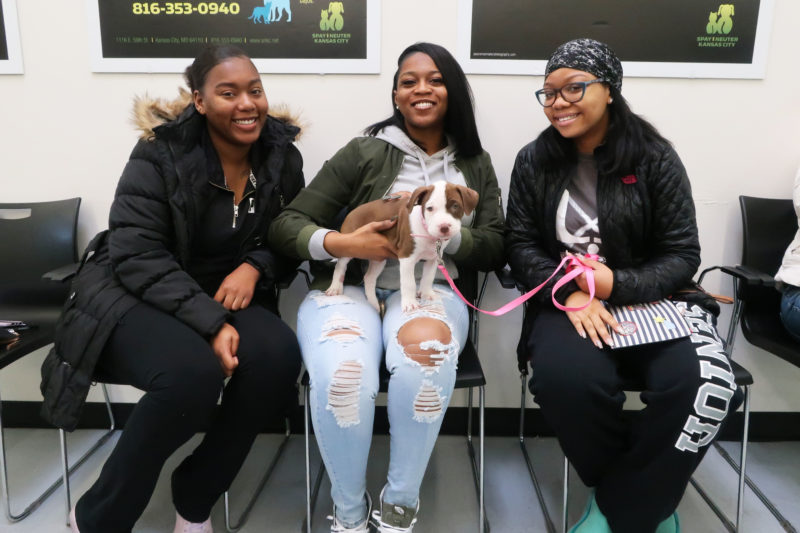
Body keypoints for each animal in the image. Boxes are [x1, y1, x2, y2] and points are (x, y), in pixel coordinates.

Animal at [326, 180, 478, 312]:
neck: (427, 233)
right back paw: (335, 287)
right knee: (340, 265)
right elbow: (409, 283)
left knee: (369, 278)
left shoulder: (433, 258)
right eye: (429, 208)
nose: (444, 227)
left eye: (455, 206)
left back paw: (373, 304)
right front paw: (410, 303)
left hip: (378, 259)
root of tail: (351, 212)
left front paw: (427, 294)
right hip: (350, 244)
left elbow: (428, 277)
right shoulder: (407, 258)